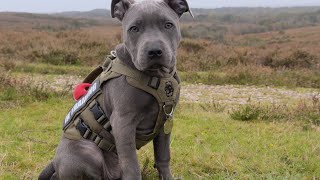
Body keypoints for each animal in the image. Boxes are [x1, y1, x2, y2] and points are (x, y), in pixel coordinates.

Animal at [38, 0, 191, 179]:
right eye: (134, 28)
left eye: (168, 25)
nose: (154, 51)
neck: (157, 76)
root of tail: (54, 162)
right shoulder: (123, 123)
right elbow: (131, 164)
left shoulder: (165, 121)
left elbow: (163, 156)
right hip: (88, 151)